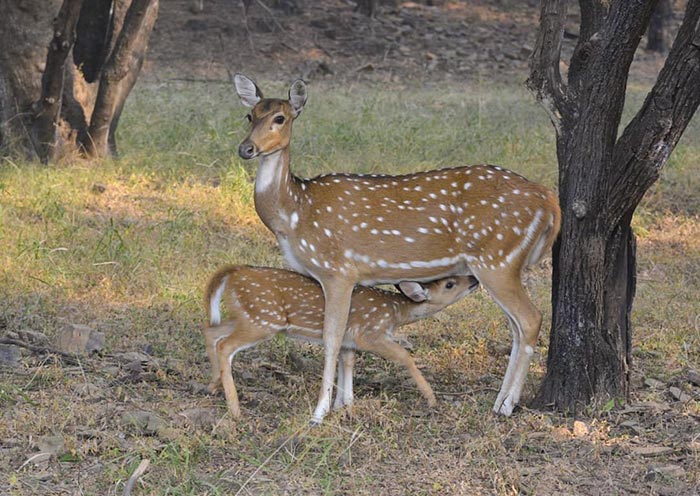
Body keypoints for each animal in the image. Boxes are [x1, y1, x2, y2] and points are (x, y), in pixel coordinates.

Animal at [203, 265, 480, 418]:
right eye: (450, 284)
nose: (474, 279)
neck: (396, 313)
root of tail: (232, 273)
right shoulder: (369, 333)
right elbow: (404, 355)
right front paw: (431, 398)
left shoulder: (349, 340)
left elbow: (346, 363)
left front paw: (344, 405)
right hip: (263, 319)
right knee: (224, 345)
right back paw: (235, 410)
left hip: (246, 316)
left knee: (211, 331)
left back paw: (213, 386)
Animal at [232, 74, 562, 423]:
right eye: (250, 115)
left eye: (280, 118)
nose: (246, 148)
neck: (295, 213)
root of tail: (548, 199)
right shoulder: (349, 276)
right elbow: (347, 343)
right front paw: (344, 404)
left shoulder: (338, 270)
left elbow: (331, 338)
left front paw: (319, 412)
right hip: (502, 263)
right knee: (516, 327)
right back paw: (500, 401)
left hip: (497, 258)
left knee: (530, 319)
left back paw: (508, 404)